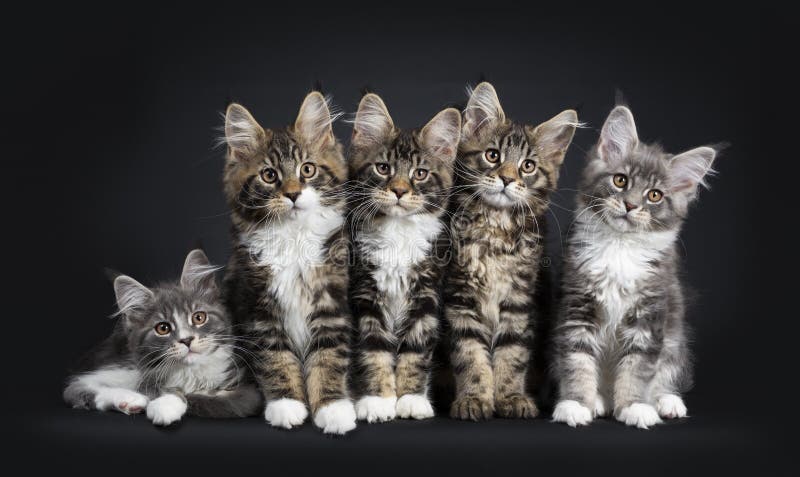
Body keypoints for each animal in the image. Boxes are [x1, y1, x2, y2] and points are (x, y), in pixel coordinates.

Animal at [64, 249, 262, 424]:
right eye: (163, 328)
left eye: (199, 317)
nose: (186, 340)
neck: (191, 372)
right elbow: (167, 389)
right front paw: (164, 402)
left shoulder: (247, 394)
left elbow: (202, 397)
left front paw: (164, 405)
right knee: (75, 387)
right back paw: (130, 398)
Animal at [219, 93, 356, 436]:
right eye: (269, 175)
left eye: (307, 170)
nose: (293, 194)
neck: (293, 238)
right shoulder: (258, 308)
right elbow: (276, 359)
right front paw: (287, 405)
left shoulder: (331, 303)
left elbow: (328, 358)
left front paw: (332, 408)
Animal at [346, 93, 460, 420]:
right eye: (383, 168)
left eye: (419, 174)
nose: (398, 190)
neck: (397, 233)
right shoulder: (365, 296)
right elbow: (373, 351)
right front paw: (377, 400)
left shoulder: (426, 296)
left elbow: (415, 352)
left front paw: (410, 399)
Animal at [446, 83, 580, 418]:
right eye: (492, 155)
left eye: (528, 166)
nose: (507, 179)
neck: (497, 228)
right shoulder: (460, 296)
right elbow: (470, 355)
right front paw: (473, 398)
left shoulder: (520, 299)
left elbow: (513, 354)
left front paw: (510, 397)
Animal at [552, 106, 720, 430]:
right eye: (620, 181)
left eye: (654, 195)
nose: (630, 205)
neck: (619, 247)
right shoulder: (578, 306)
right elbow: (577, 362)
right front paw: (576, 404)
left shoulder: (649, 314)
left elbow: (637, 367)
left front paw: (633, 406)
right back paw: (600, 401)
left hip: (675, 339)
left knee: (666, 372)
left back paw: (666, 402)